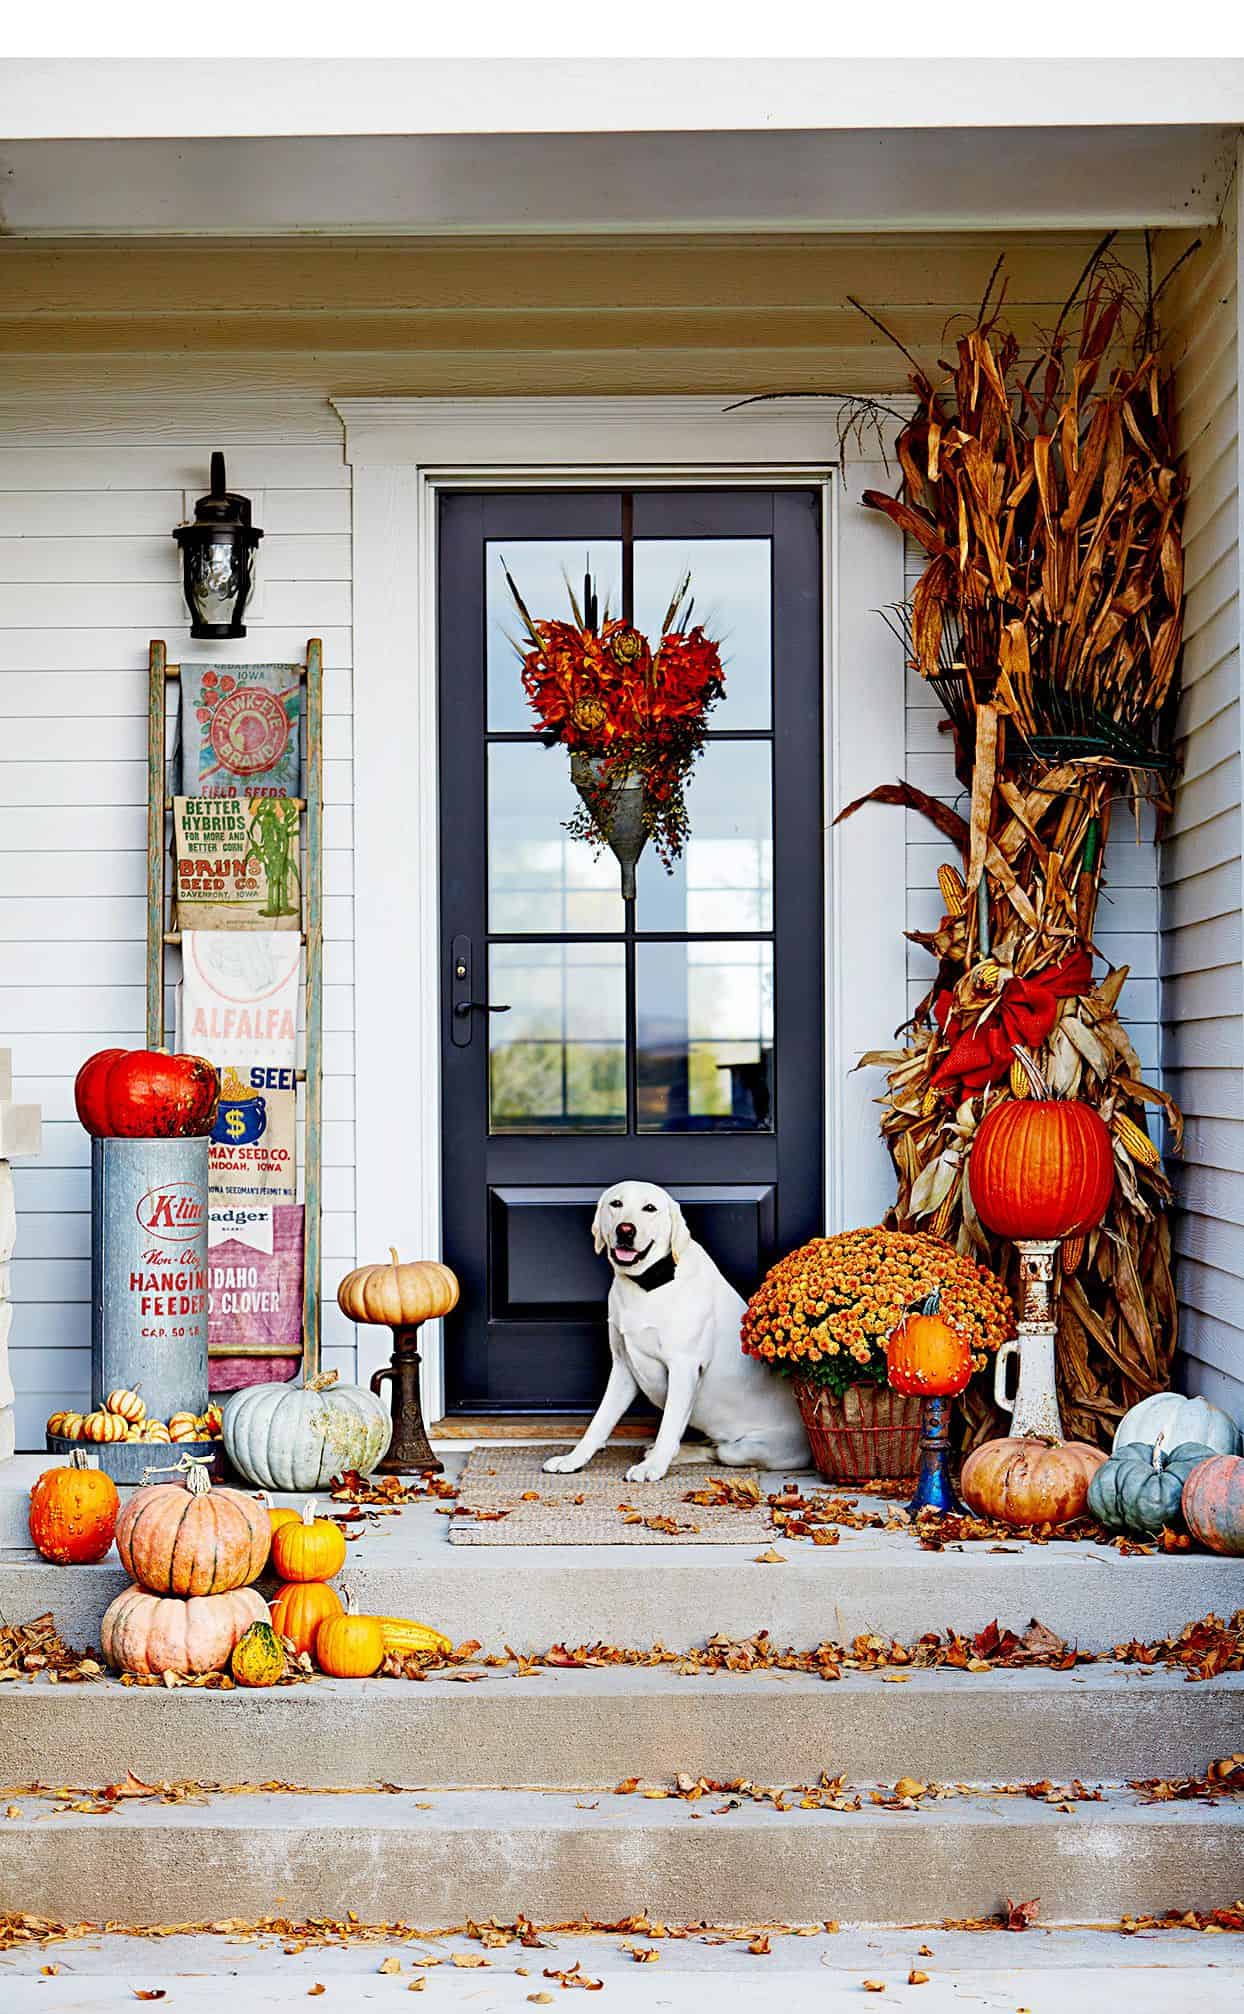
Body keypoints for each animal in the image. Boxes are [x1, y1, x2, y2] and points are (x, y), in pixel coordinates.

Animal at [539, 1176, 805, 1490]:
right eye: (616, 1203)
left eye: (650, 1208)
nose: (625, 1229)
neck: (648, 1283)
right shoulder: (623, 1369)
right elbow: (599, 1422)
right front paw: (573, 1459)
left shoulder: (683, 1367)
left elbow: (668, 1426)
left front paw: (652, 1468)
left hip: (744, 1450)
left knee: (717, 1451)